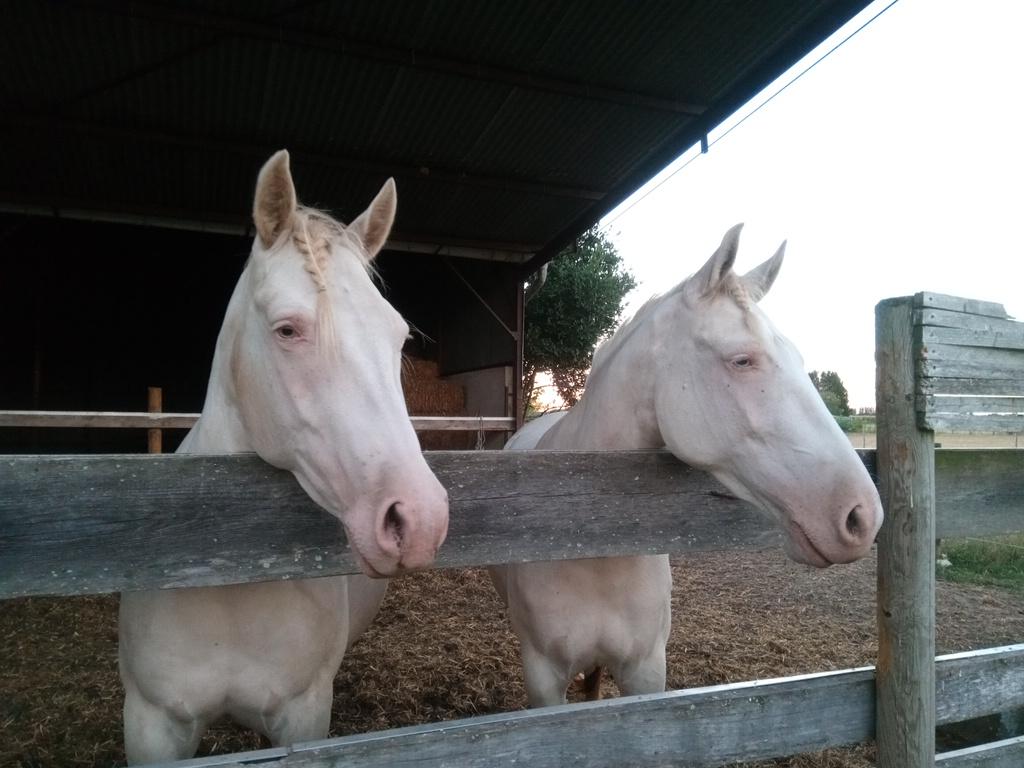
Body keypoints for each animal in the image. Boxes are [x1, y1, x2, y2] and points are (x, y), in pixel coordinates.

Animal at [117, 150, 446, 765]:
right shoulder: (152, 723)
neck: (230, 585)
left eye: (398, 338)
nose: (417, 520)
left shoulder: (303, 715)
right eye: (287, 329)